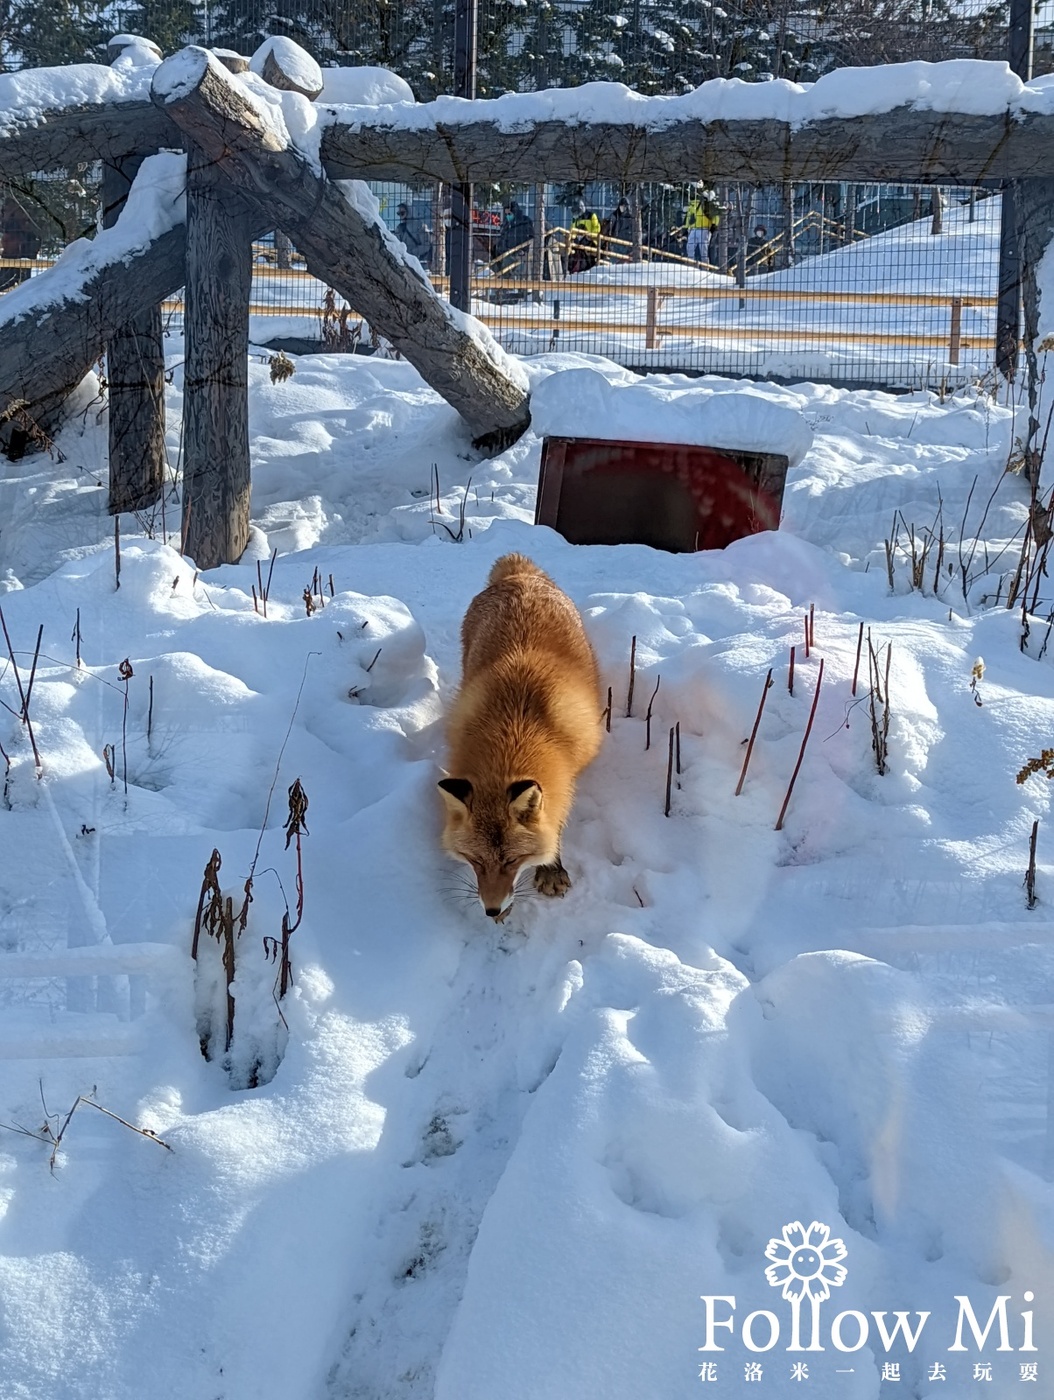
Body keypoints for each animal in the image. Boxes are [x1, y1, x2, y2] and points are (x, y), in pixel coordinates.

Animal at [436, 551, 599, 924]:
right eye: (475, 861)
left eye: (512, 861)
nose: (491, 909)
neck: (515, 730)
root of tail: (521, 575)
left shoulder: (568, 770)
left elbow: (555, 819)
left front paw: (551, 868)